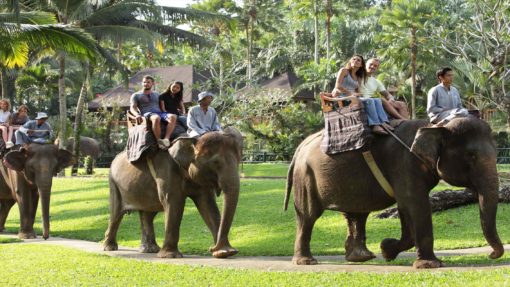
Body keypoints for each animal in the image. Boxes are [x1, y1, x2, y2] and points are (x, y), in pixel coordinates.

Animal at [103, 127, 243, 258]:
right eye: (215, 163)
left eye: (239, 159)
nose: (211, 248)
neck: (192, 139)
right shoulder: (166, 171)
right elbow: (174, 203)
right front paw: (170, 256)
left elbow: (208, 205)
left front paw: (225, 252)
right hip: (114, 183)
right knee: (116, 213)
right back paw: (109, 248)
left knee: (147, 214)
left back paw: (150, 250)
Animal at [284, 117, 504, 270]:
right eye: (471, 156)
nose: (491, 255)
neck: (435, 126)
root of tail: (301, 146)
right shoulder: (405, 163)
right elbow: (416, 205)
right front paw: (430, 265)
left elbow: (406, 207)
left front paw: (386, 250)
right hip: (306, 177)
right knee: (308, 216)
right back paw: (307, 262)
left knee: (356, 213)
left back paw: (361, 257)